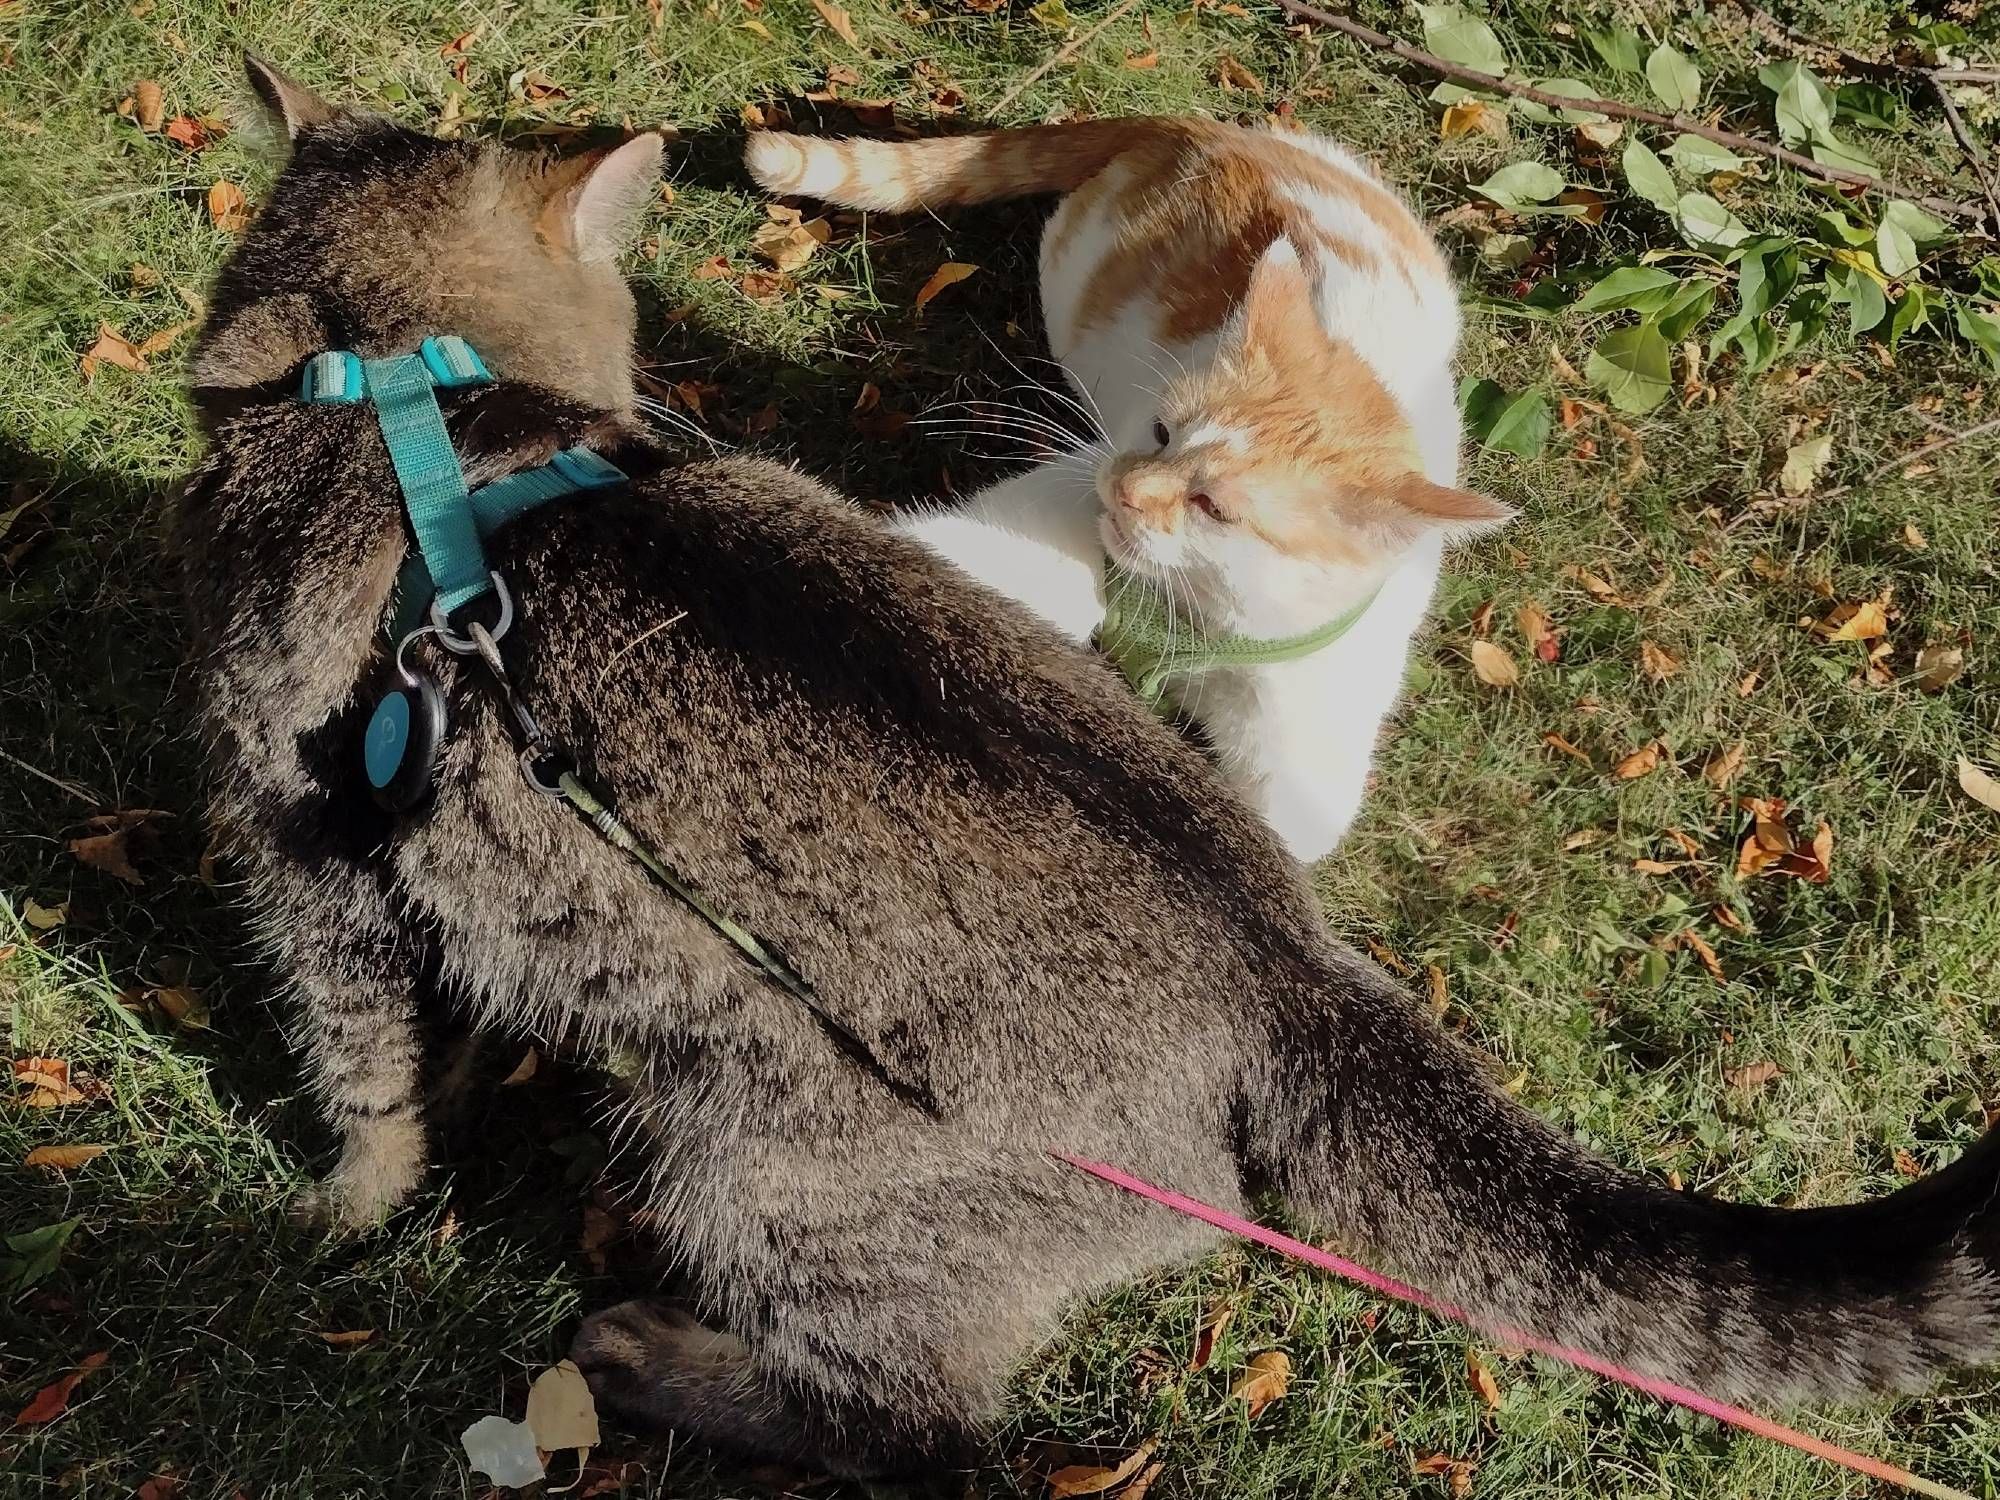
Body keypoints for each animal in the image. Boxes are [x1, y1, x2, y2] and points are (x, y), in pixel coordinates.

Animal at [752, 117, 1512, 864]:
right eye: (1159, 430)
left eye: (1214, 507)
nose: (1125, 488)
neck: (1200, 614)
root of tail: (1198, 126)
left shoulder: (1308, 750)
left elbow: (1284, 835)